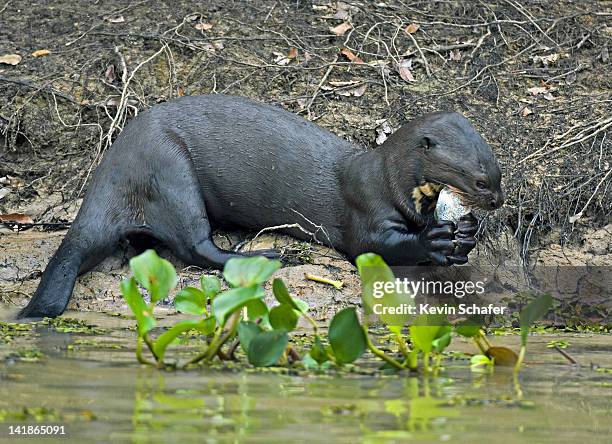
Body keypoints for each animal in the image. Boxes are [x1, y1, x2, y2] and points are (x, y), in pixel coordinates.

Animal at [20, 93, 502, 318]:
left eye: (498, 173)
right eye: (480, 179)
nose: (497, 200)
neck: (388, 179)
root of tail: (110, 171)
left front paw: (465, 236)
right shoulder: (365, 209)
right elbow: (374, 246)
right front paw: (436, 240)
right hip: (169, 169)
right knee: (193, 246)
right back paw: (266, 254)